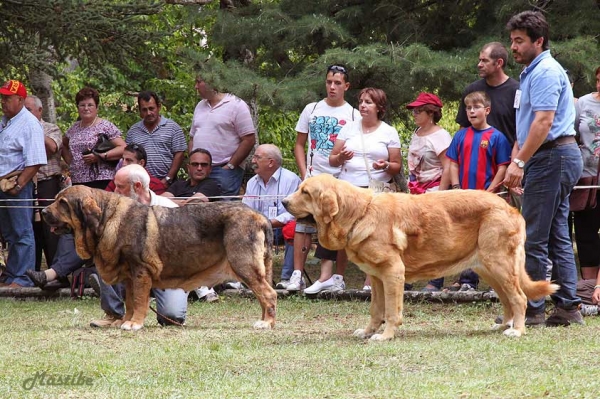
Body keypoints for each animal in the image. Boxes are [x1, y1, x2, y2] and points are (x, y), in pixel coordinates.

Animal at [43, 186, 278, 332]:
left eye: (63, 203)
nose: (44, 211)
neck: (105, 219)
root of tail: (260, 217)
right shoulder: (130, 276)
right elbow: (130, 302)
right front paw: (127, 321)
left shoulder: (140, 271)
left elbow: (139, 300)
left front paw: (134, 324)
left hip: (245, 265)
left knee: (269, 294)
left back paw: (266, 323)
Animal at [284, 175, 560, 340]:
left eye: (305, 192)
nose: (284, 202)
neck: (359, 213)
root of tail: (511, 208)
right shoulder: (376, 278)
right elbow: (376, 310)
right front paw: (368, 331)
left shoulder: (393, 272)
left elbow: (392, 311)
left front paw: (385, 336)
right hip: (489, 269)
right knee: (507, 300)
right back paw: (504, 326)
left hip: (499, 265)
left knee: (520, 298)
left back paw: (518, 330)